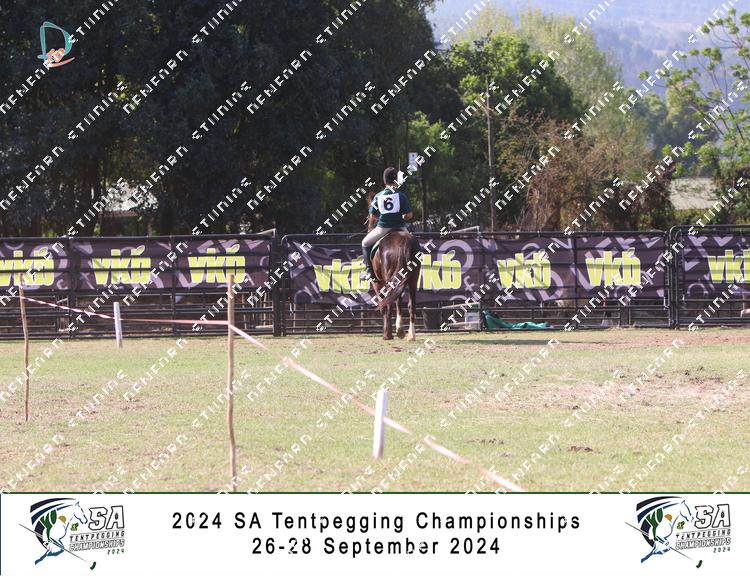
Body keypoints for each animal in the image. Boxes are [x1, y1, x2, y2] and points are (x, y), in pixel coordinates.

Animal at [366, 209, 421, 341]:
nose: (369, 228)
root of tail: (404, 241)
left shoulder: (377, 283)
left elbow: (384, 305)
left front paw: (387, 334)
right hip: (413, 279)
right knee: (411, 304)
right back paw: (411, 335)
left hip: (389, 279)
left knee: (394, 301)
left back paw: (399, 330)